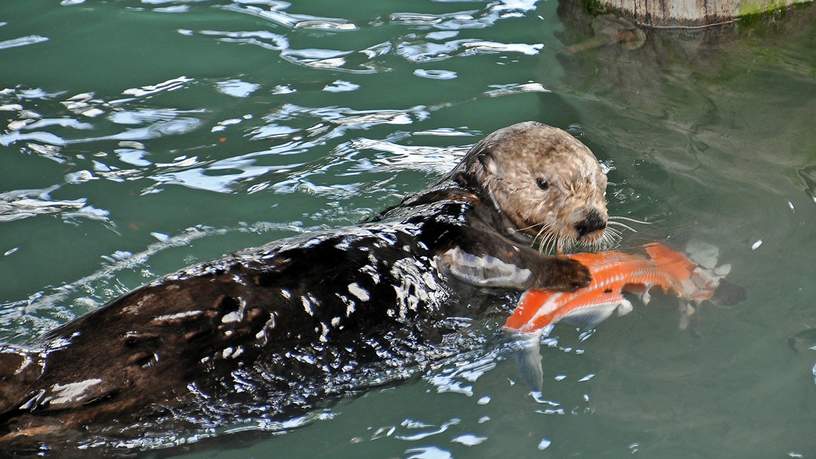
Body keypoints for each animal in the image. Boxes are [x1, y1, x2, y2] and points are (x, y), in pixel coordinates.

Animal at [0, 120, 612, 452]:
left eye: (597, 182)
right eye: (543, 182)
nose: (592, 221)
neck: (473, 200)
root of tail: (52, 371)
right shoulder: (456, 227)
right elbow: (500, 257)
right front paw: (573, 271)